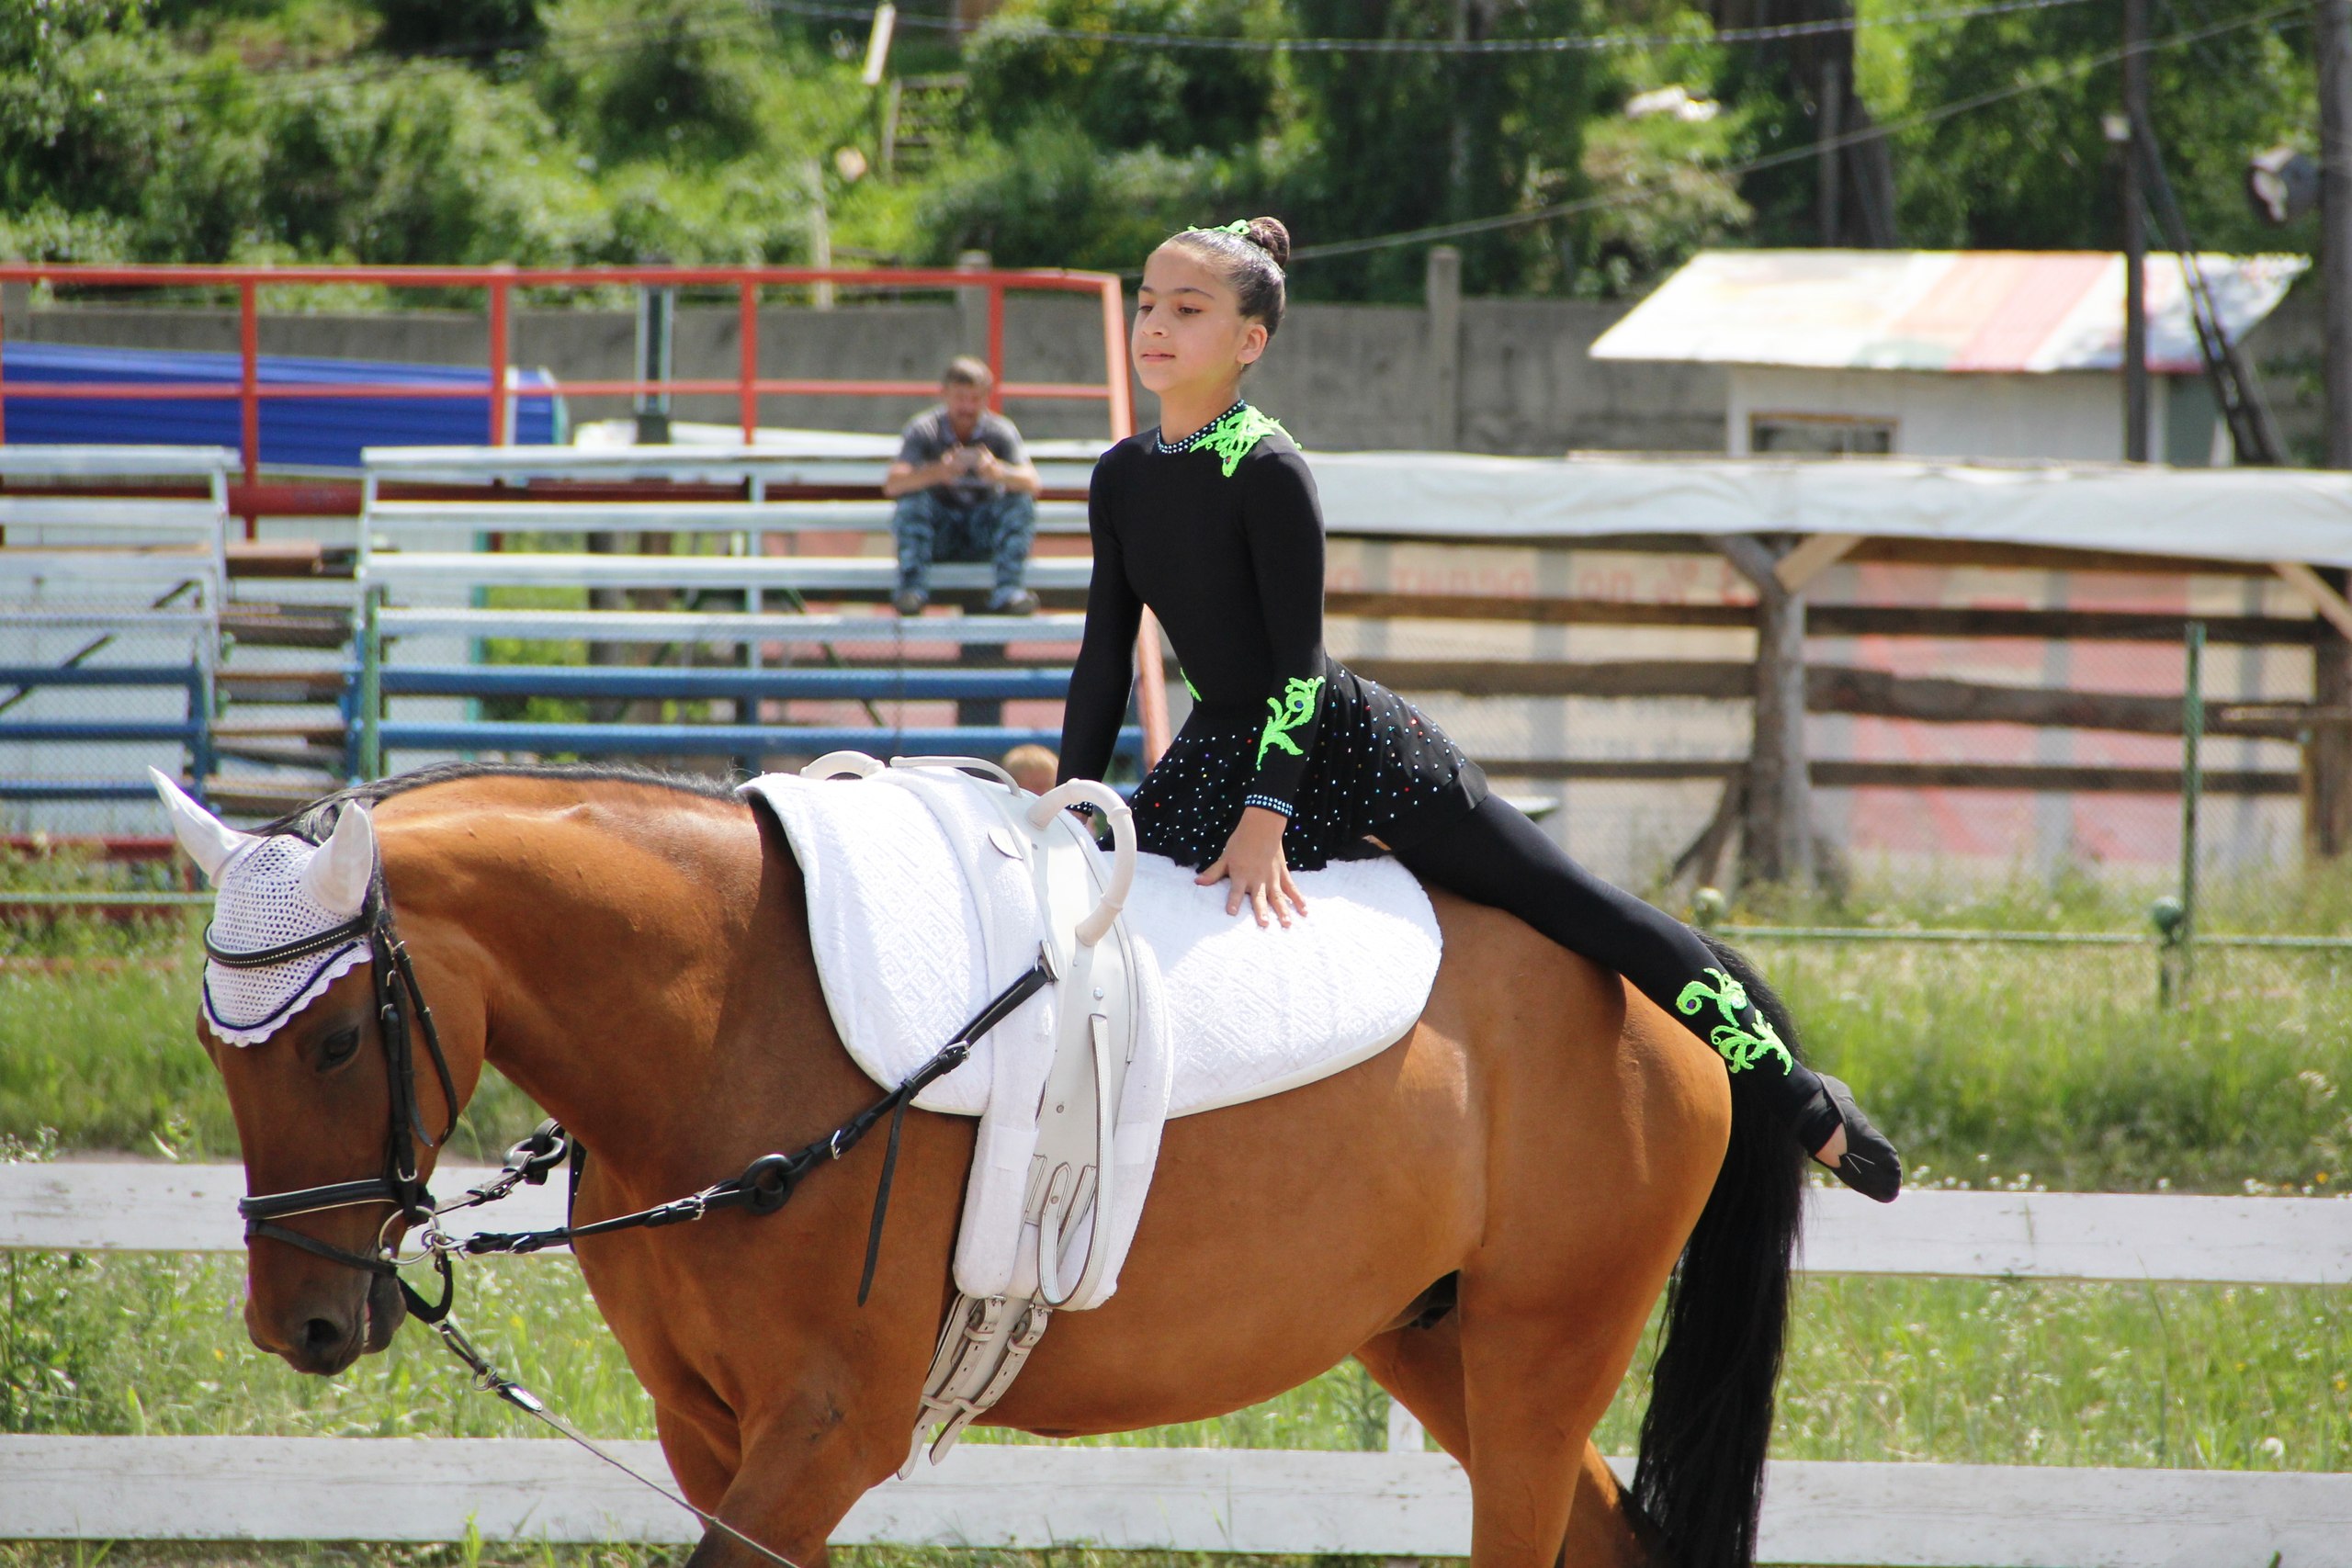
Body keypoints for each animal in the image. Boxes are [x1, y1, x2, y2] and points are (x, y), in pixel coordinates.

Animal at [183, 766, 1796, 1568]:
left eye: (336, 1039)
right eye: (215, 1044)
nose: (296, 1319)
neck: (723, 1011)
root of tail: (1683, 986)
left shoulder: (831, 1425)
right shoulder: (707, 1425)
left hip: (1542, 1346)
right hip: (1432, 1339)